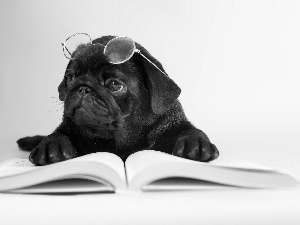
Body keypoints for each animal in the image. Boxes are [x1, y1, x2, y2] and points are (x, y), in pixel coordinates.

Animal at [17, 35, 219, 165]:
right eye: (71, 77)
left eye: (114, 84)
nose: (83, 88)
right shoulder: (68, 127)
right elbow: (58, 134)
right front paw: (51, 146)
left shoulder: (172, 125)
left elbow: (190, 130)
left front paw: (195, 142)